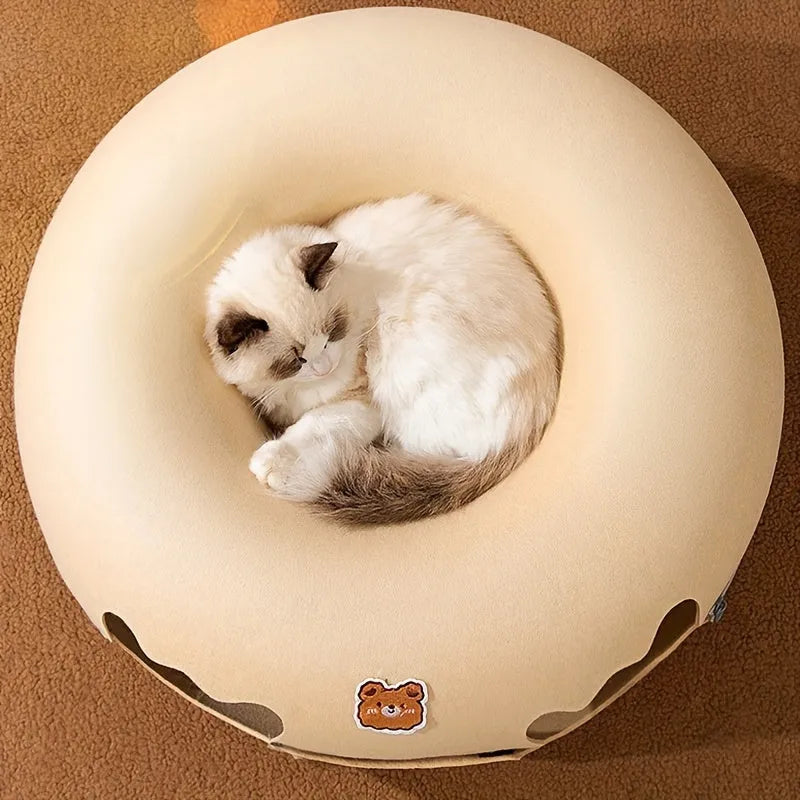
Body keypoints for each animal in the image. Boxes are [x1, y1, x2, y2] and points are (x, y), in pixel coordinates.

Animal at [203, 194, 560, 524]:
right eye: (297, 360)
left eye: (332, 333)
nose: (325, 367)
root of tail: (527, 430)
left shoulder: (362, 404)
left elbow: (316, 425)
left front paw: (273, 464)